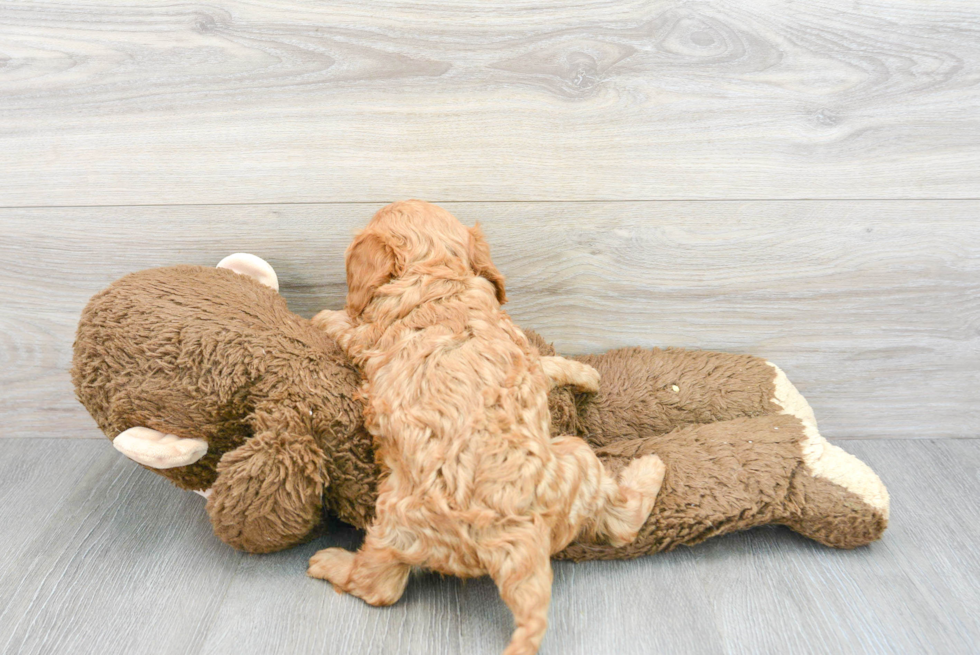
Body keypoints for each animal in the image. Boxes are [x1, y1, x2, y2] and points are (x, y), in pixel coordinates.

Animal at [308, 201, 668, 655]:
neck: (439, 275)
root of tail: (518, 536)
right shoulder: (524, 356)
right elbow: (547, 366)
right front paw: (586, 374)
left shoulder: (367, 334)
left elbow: (342, 324)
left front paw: (321, 315)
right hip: (578, 460)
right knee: (621, 522)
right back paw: (652, 466)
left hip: (394, 525)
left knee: (378, 587)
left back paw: (330, 563)